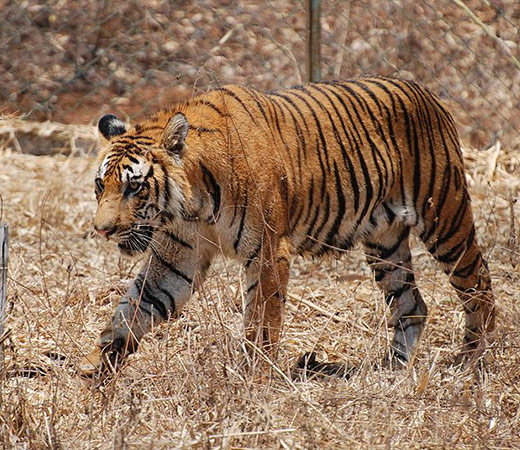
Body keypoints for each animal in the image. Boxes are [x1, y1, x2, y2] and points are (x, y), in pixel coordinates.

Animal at [78, 77, 496, 376]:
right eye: (100, 185)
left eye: (134, 187)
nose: (102, 230)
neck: (192, 204)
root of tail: (429, 94)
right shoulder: (176, 257)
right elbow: (134, 309)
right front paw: (97, 372)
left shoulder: (267, 252)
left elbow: (262, 323)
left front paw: (253, 379)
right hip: (385, 244)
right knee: (411, 304)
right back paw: (391, 370)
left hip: (446, 218)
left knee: (478, 283)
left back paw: (476, 361)